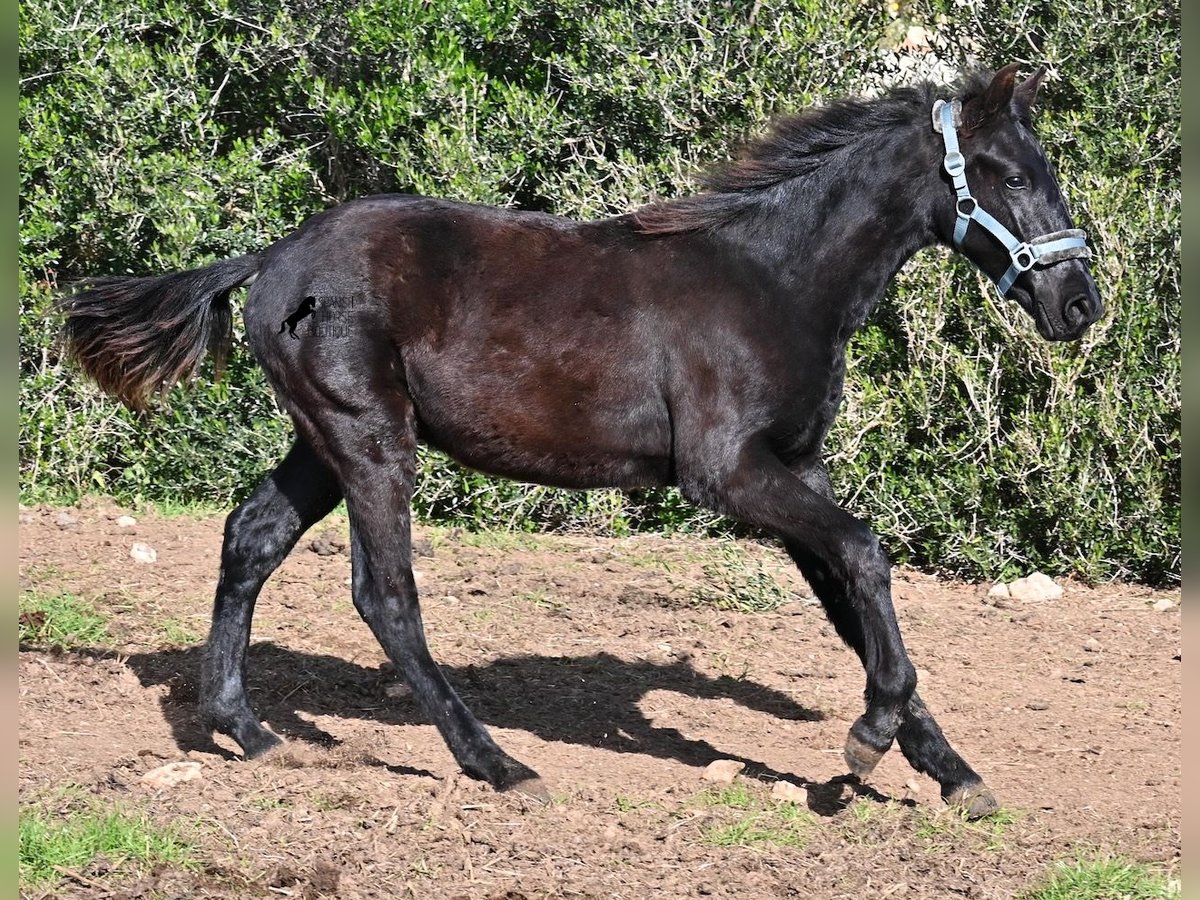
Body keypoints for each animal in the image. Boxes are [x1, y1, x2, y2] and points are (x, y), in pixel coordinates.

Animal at [63, 66, 1099, 820]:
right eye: (1010, 175)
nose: (1079, 304)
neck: (773, 280)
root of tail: (272, 259)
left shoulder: (793, 466)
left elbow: (852, 595)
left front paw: (948, 769)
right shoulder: (729, 474)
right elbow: (867, 554)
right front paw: (867, 739)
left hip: (323, 444)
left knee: (251, 538)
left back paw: (245, 728)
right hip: (369, 441)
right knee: (384, 595)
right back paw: (494, 763)